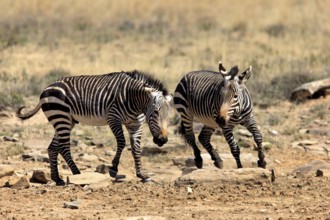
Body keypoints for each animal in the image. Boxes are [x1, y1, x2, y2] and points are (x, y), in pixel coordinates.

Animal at [16, 70, 173, 184]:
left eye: (169, 114)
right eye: (155, 112)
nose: (162, 140)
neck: (135, 101)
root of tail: (45, 89)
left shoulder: (135, 124)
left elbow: (136, 149)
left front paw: (141, 174)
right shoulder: (113, 118)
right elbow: (122, 142)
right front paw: (113, 168)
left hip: (65, 120)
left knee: (53, 148)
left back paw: (57, 179)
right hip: (61, 117)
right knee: (64, 147)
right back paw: (76, 173)